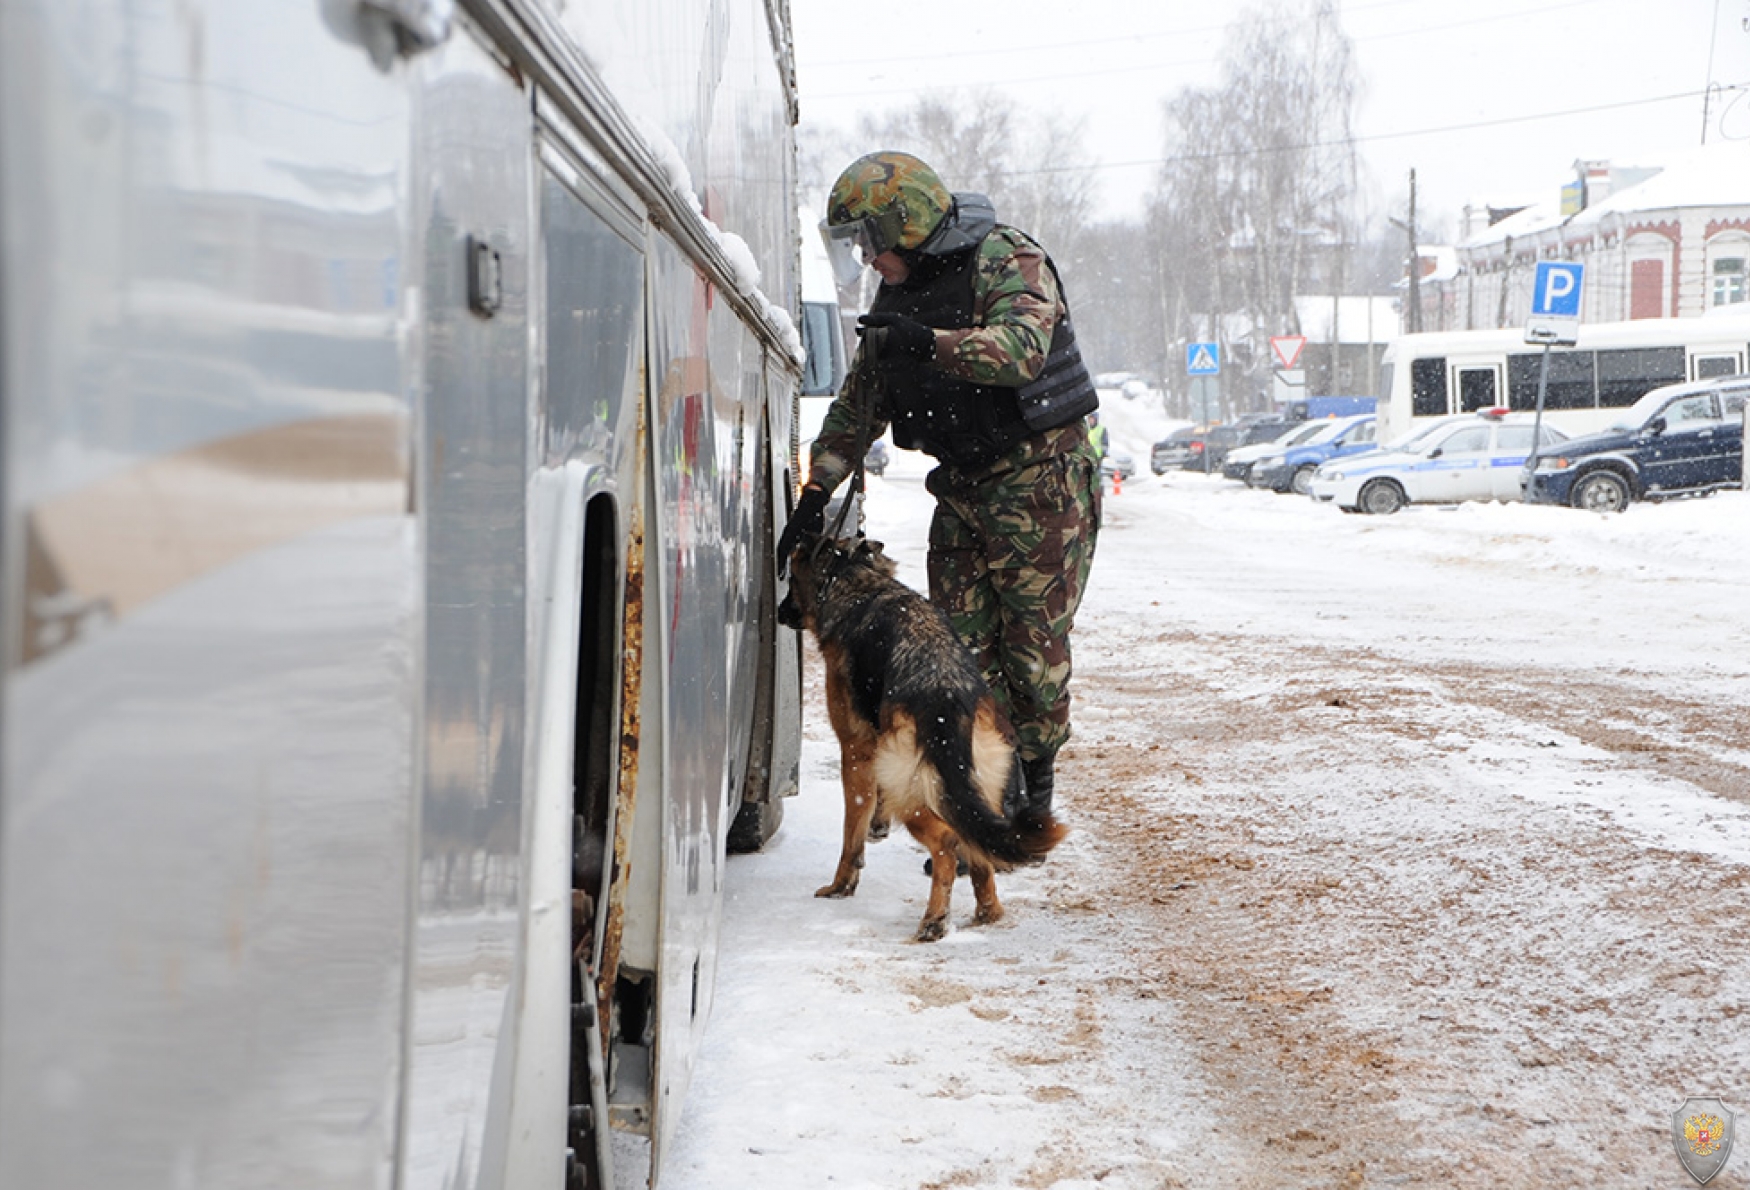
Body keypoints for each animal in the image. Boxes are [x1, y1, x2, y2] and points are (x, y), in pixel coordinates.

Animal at [784, 535, 1064, 938]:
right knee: (978, 849)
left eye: (790, 580)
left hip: (910, 789)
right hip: (975, 784)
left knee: (947, 840)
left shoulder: (856, 752)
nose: (780, 612)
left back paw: (934, 920)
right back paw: (987, 911)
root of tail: (948, 698)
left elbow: (851, 832)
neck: (856, 582)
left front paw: (841, 884)